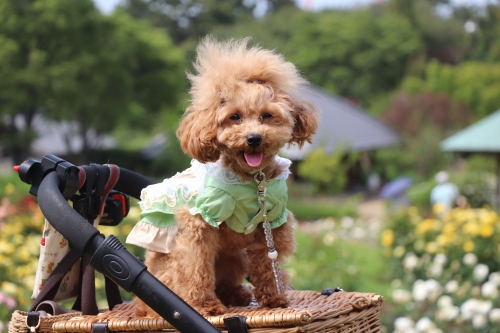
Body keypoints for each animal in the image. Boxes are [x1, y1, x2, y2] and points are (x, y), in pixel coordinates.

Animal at [127, 36, 318, 316]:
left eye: (267, 116)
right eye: (234, 117)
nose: (253, 138)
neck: (253, 181)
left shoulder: (271, 221)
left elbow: (267, 263)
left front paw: (273, 299)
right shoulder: (201, 221)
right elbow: (198, 267)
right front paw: (204, 306)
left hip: (234, 257)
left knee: (227, 282)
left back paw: (238, 294)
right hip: (168, 269)